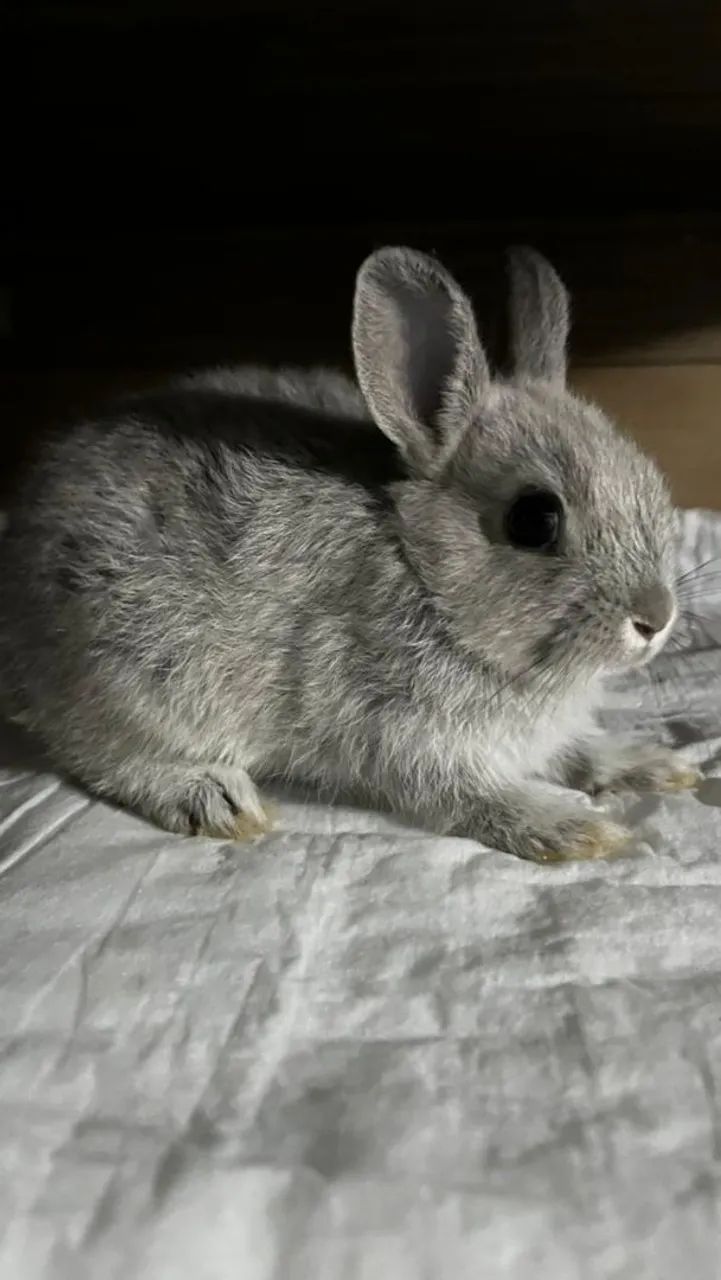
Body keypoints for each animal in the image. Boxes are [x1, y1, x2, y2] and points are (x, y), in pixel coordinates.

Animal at [0, 245, 699, 862]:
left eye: (644, 474)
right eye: (535, 520)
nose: (656, 619)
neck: (424, 574)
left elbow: (577, 751)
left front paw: (650, 766)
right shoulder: (401, 736)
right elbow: (472, 796)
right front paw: (569, 829)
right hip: (125, 675)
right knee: (94, 752)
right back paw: (212, 796)